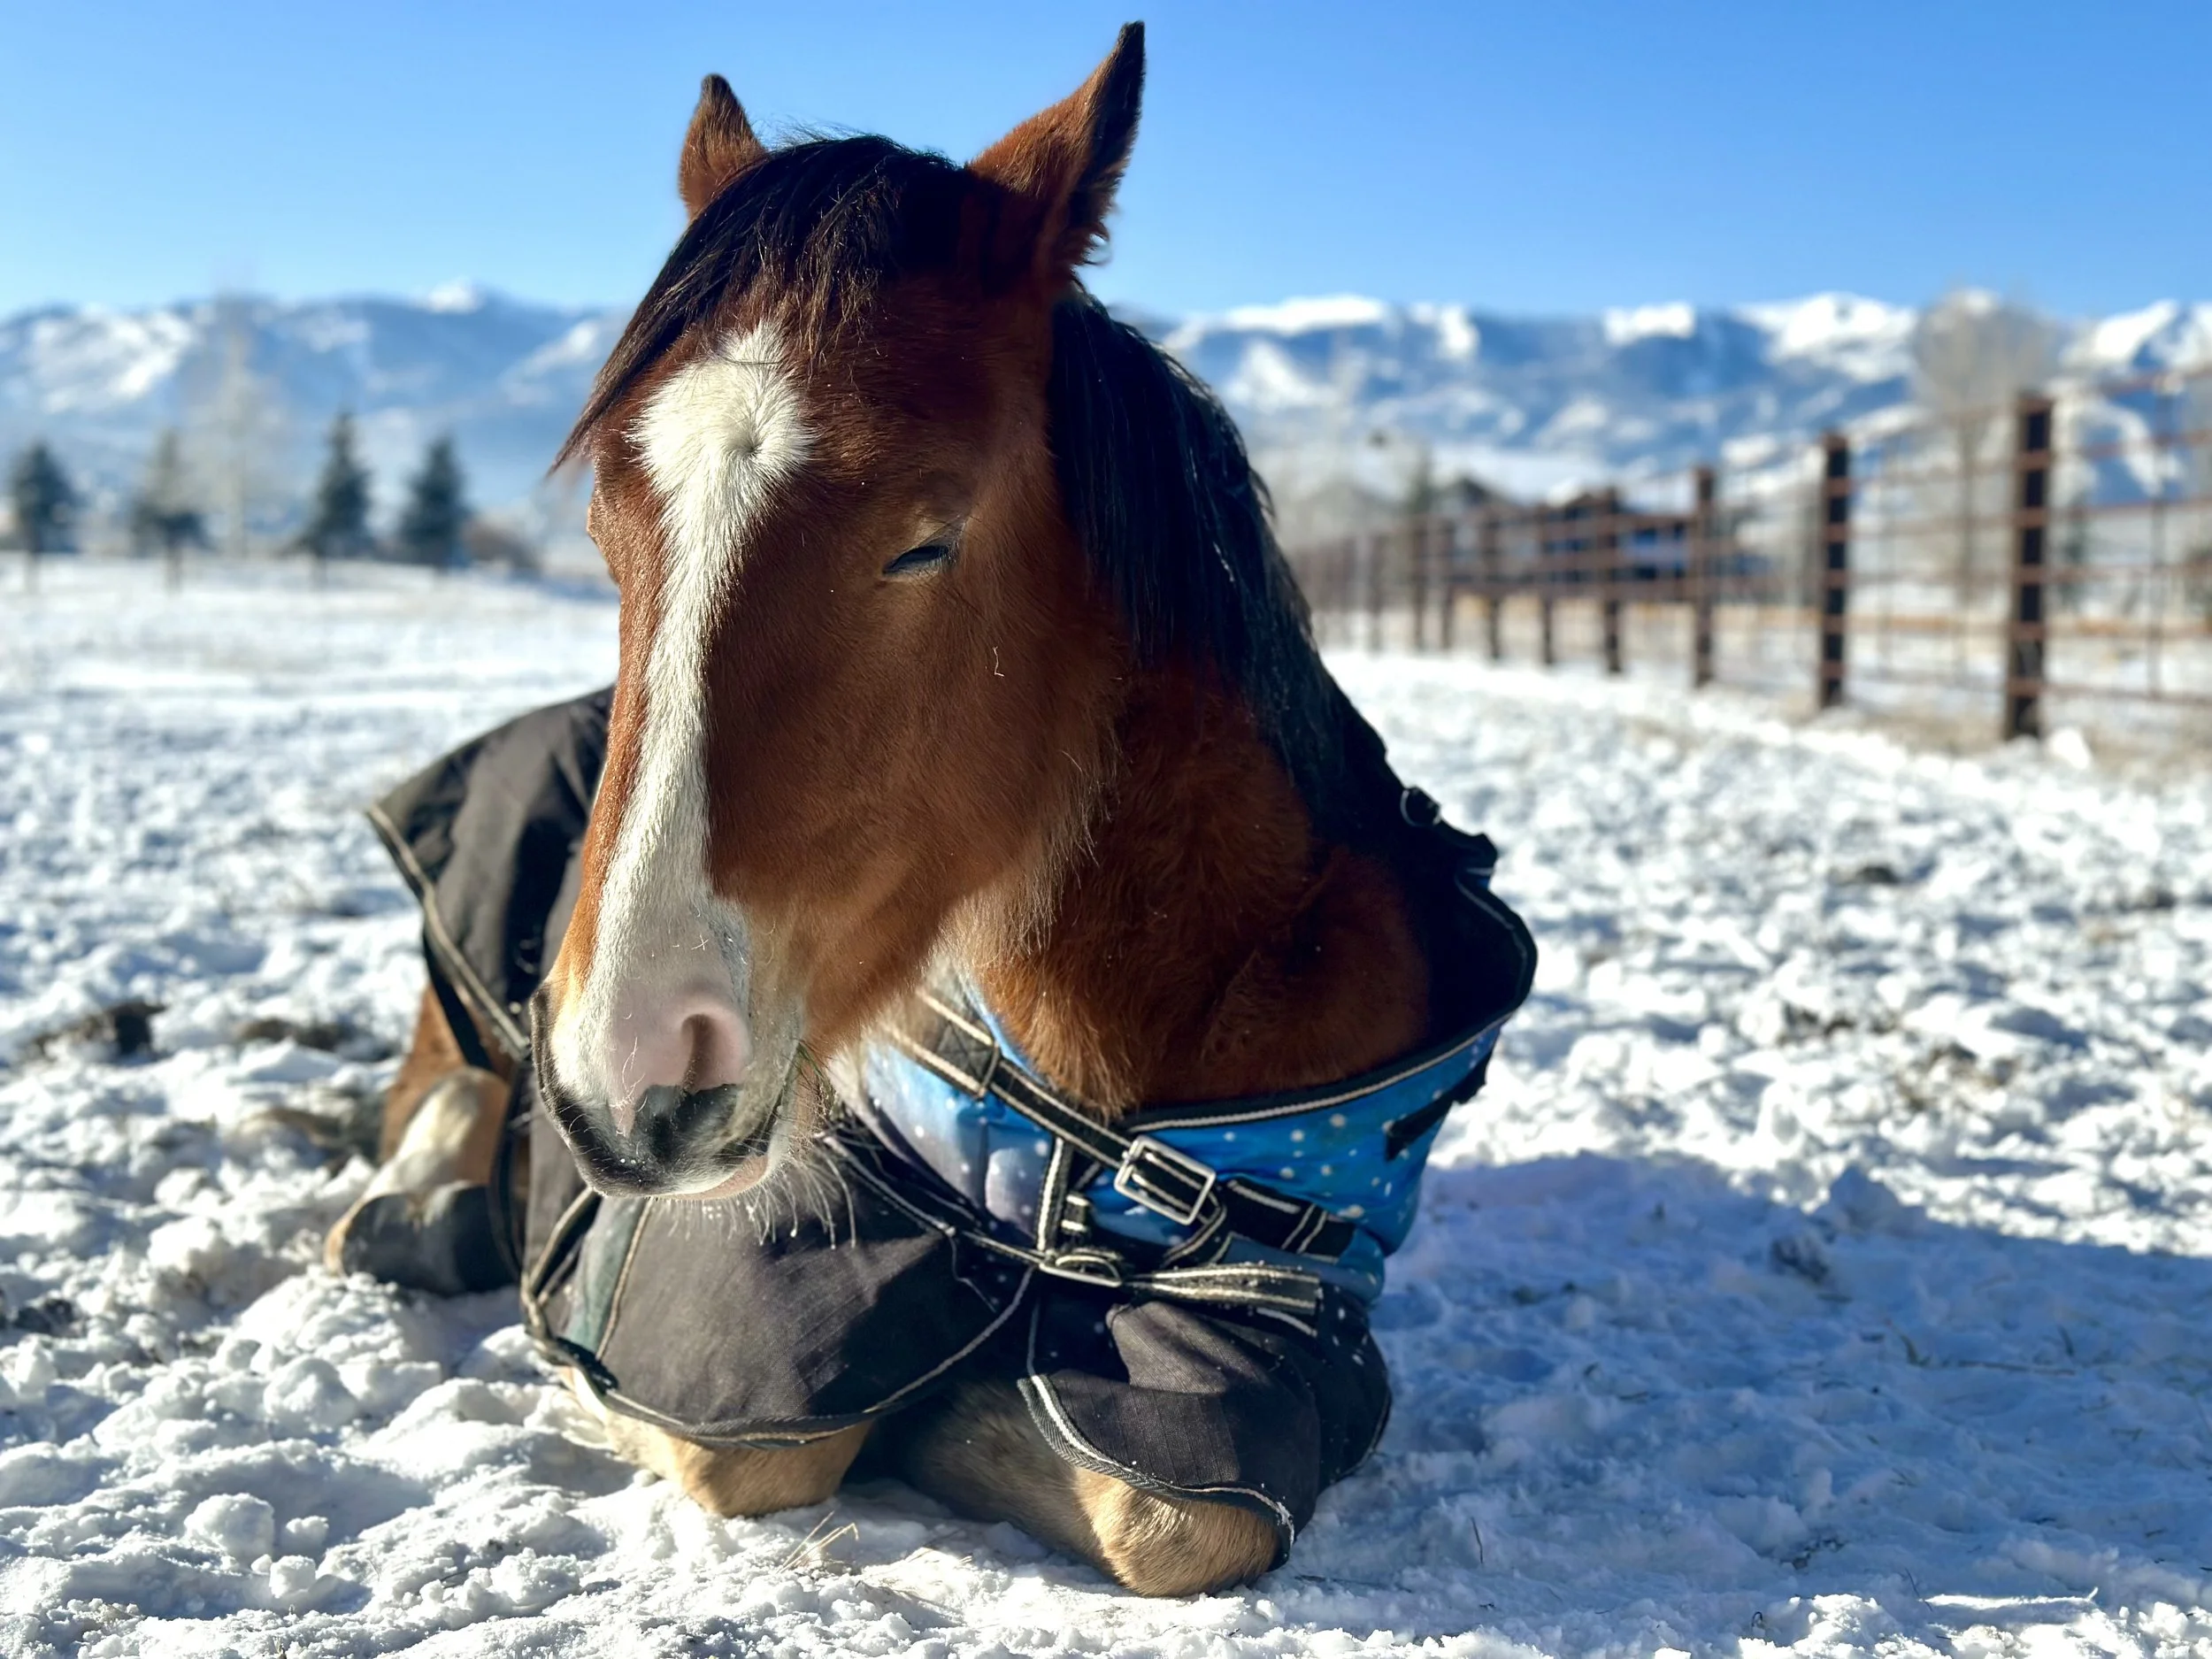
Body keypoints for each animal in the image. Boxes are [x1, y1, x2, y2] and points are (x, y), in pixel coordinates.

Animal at [326, 23, 1532, 1597]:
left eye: (927, 539)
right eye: (607, 527)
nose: (627, 1069)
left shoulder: (1254, 1342)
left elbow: (1170, 1506)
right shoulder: (727, 1294)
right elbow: (763, 1443)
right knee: (441, 1084)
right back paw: (420, 1203)